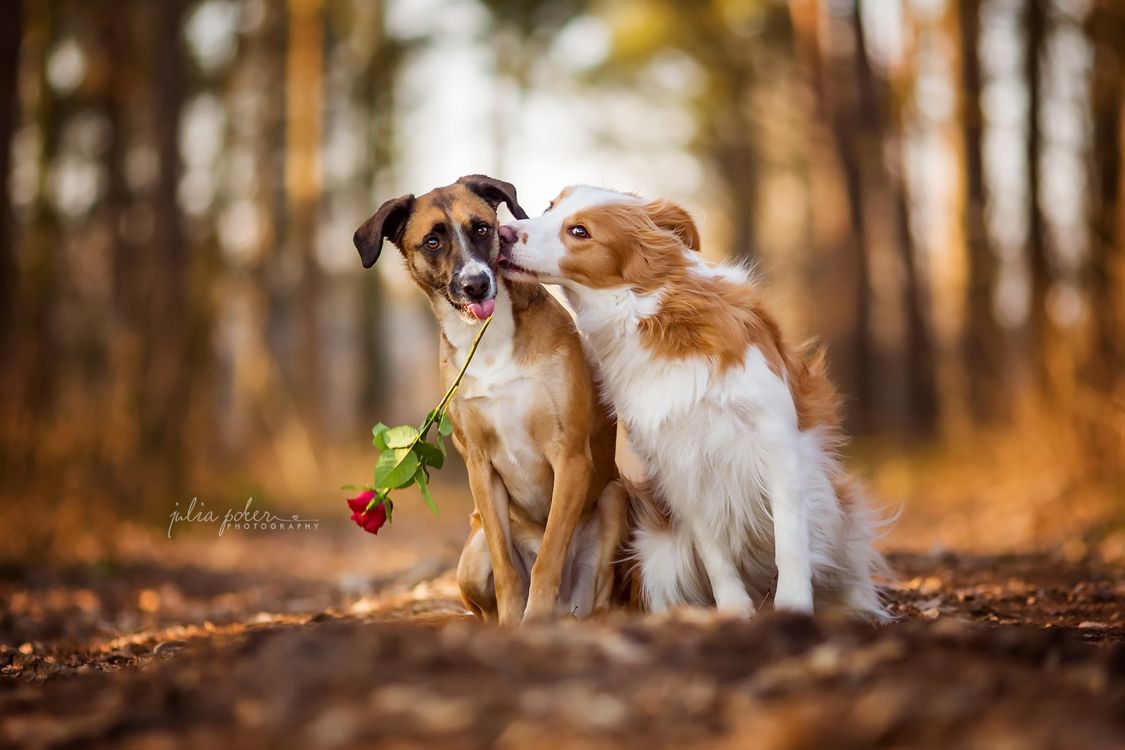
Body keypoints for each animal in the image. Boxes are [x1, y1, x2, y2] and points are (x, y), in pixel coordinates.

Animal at [355, 177, 630, 629]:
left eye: (482, 228)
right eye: (433, 241)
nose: (476, 284)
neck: (488, 341)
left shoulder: (571, 456)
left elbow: (548, 558)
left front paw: (535, 619)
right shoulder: (480, 466)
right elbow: (506, 568)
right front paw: (512, 623)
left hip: (613, 499)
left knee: (598, 595)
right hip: (472, 551)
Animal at [499, 186, 886, 620]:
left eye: (579, 231)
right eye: (550, 207)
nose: (503, 233)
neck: (648, 315)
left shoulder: (778, 443)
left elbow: (789, 540)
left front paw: (793, 607)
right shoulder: (677, 462)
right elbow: (714, 552)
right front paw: (734, 609)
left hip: (840, 511)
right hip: (656, 550)